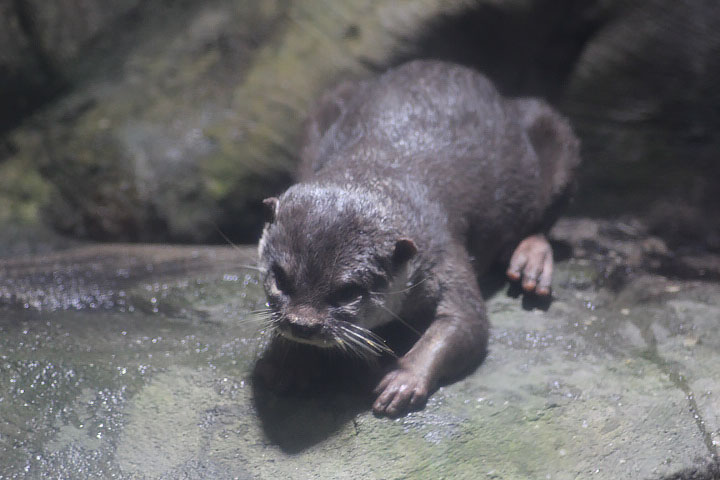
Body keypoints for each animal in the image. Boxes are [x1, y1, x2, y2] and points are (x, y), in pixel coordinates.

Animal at [255, 60, 580, 417]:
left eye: (347, 292)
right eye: (280, 278)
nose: (302, 324)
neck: (382, 169)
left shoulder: (442, 252)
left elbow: (466, 322)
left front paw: (403, 379)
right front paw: (287, 361)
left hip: (552, 130)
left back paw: (531, 261)